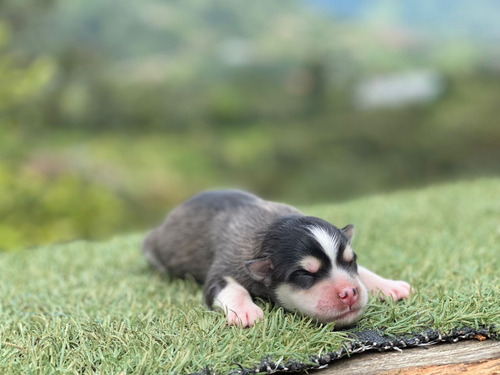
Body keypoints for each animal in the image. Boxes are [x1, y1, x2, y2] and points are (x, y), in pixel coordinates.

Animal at [143, 189, 412, 328]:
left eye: (350, 261)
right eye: (304, 274)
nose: (350, 293)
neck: (269, 230)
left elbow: (364, 272)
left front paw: (388, 286)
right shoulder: (225, 266)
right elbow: (230, 287)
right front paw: (246, 311)